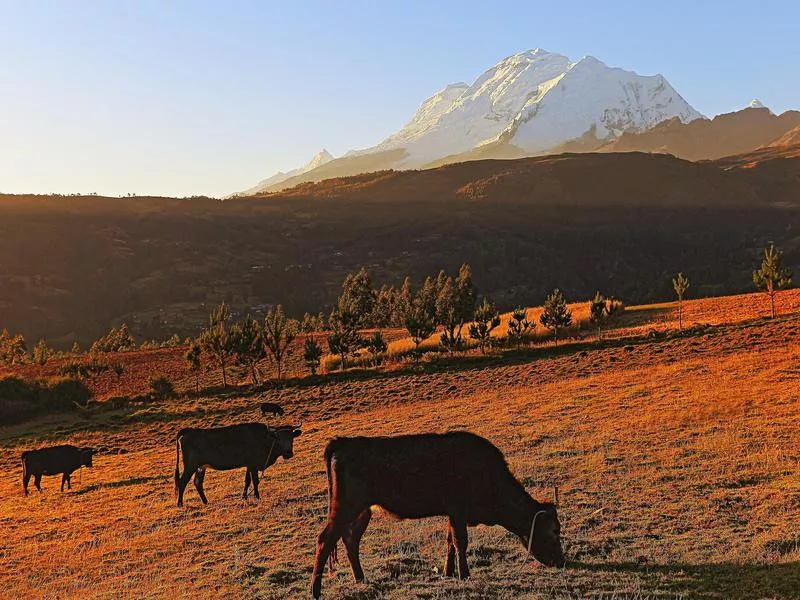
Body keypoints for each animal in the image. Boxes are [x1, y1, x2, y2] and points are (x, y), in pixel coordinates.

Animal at [173, 422, 302, 506]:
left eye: (291, 438)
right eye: (279, 439)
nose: (288, 453)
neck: (264, 439)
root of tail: (189, 431)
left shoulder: (249, 465)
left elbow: (247, 481)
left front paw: (244, 496)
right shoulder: (253, 464)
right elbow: (255, 481)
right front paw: (257, 497)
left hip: (200, 467)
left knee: (197, 483)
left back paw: (205, 502)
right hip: (190, 466)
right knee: (182, 482)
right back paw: (180, 503)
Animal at [310, 434, 564, 596]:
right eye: (554, 531)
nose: (561, 562)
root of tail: (343, 442)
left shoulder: (452, 512)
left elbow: (450, 540)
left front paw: (448, 572)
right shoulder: (458, 508)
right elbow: (461, 541)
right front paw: (465, 574)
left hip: (362, 510)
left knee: (350, 540)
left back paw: (361, 579)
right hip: (346, 506)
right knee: (325, 540)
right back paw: (315, 590)